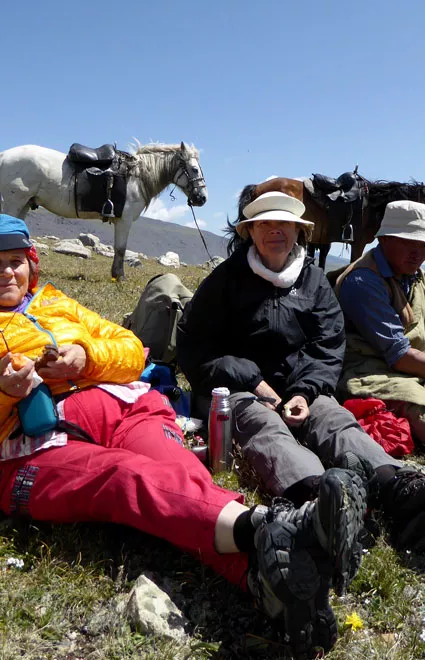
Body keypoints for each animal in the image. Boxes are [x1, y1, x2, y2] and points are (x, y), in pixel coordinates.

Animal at [0, 142, 207, 278]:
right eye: (194, 169)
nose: (202, 198)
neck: (136, 176)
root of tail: (5, 155)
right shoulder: (124, 220)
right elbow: (121, 249)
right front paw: (119, 276)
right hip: (14, 202)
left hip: (24, 204)